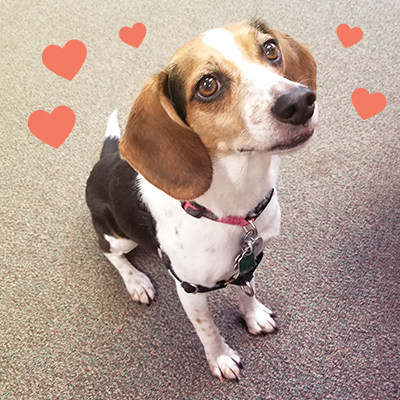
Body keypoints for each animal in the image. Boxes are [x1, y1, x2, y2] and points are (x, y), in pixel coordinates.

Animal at [86, 19, 318, 382]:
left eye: (270, 49)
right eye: (207, 85)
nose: (300, 101)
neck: (233, 205)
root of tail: (106, 159)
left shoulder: (249, 260)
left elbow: (248, 293)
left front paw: (253, 317)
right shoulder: (189, 289)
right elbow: (207, 330)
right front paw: (221, 358)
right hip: (118, 236)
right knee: (110, 253)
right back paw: (136, 282)